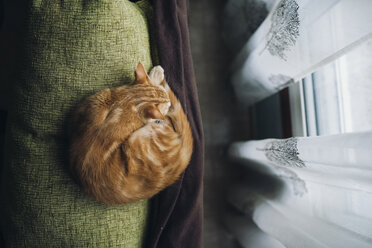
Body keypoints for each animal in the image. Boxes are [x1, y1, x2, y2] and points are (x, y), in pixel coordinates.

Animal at [68, 63, 193, 204]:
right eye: (167, 103)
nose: (169, 102)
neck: (125, 102)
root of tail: (183, 154)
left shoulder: (94, 102)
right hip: (139, 139)